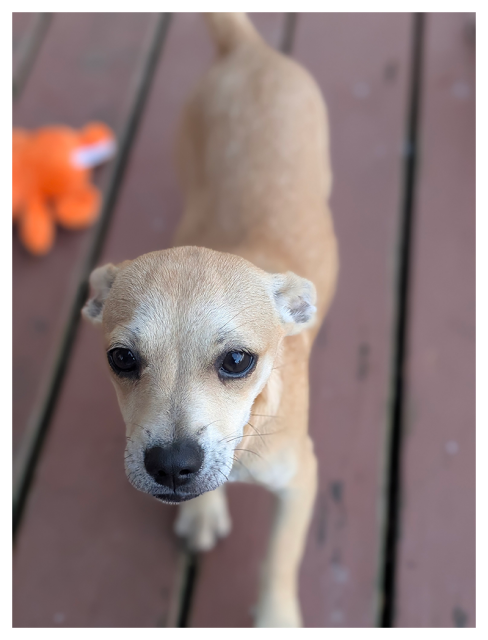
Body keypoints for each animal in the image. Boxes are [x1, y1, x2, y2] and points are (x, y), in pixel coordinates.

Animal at [83, 12, 336, 628]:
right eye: (121, 359)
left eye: (238, 361)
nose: (172, 466)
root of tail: (248, 49)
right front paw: (201, 512)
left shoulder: (302, 479)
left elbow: (280, 558)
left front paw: (276, 619)